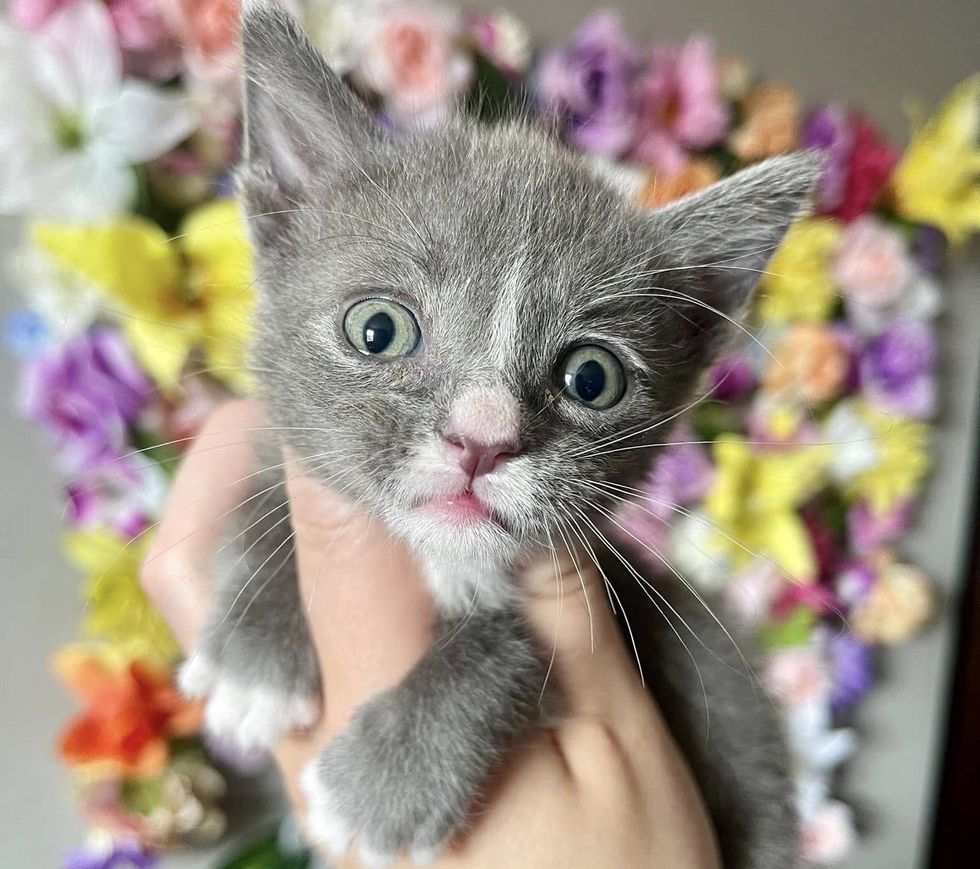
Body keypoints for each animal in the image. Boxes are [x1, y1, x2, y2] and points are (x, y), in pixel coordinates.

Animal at [182, 3, 820, 864]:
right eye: (377, 329)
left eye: (592, 378)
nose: (481, 440)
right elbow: (272, 499)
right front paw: (253, 657)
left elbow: (511, 645)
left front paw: (384, 787)